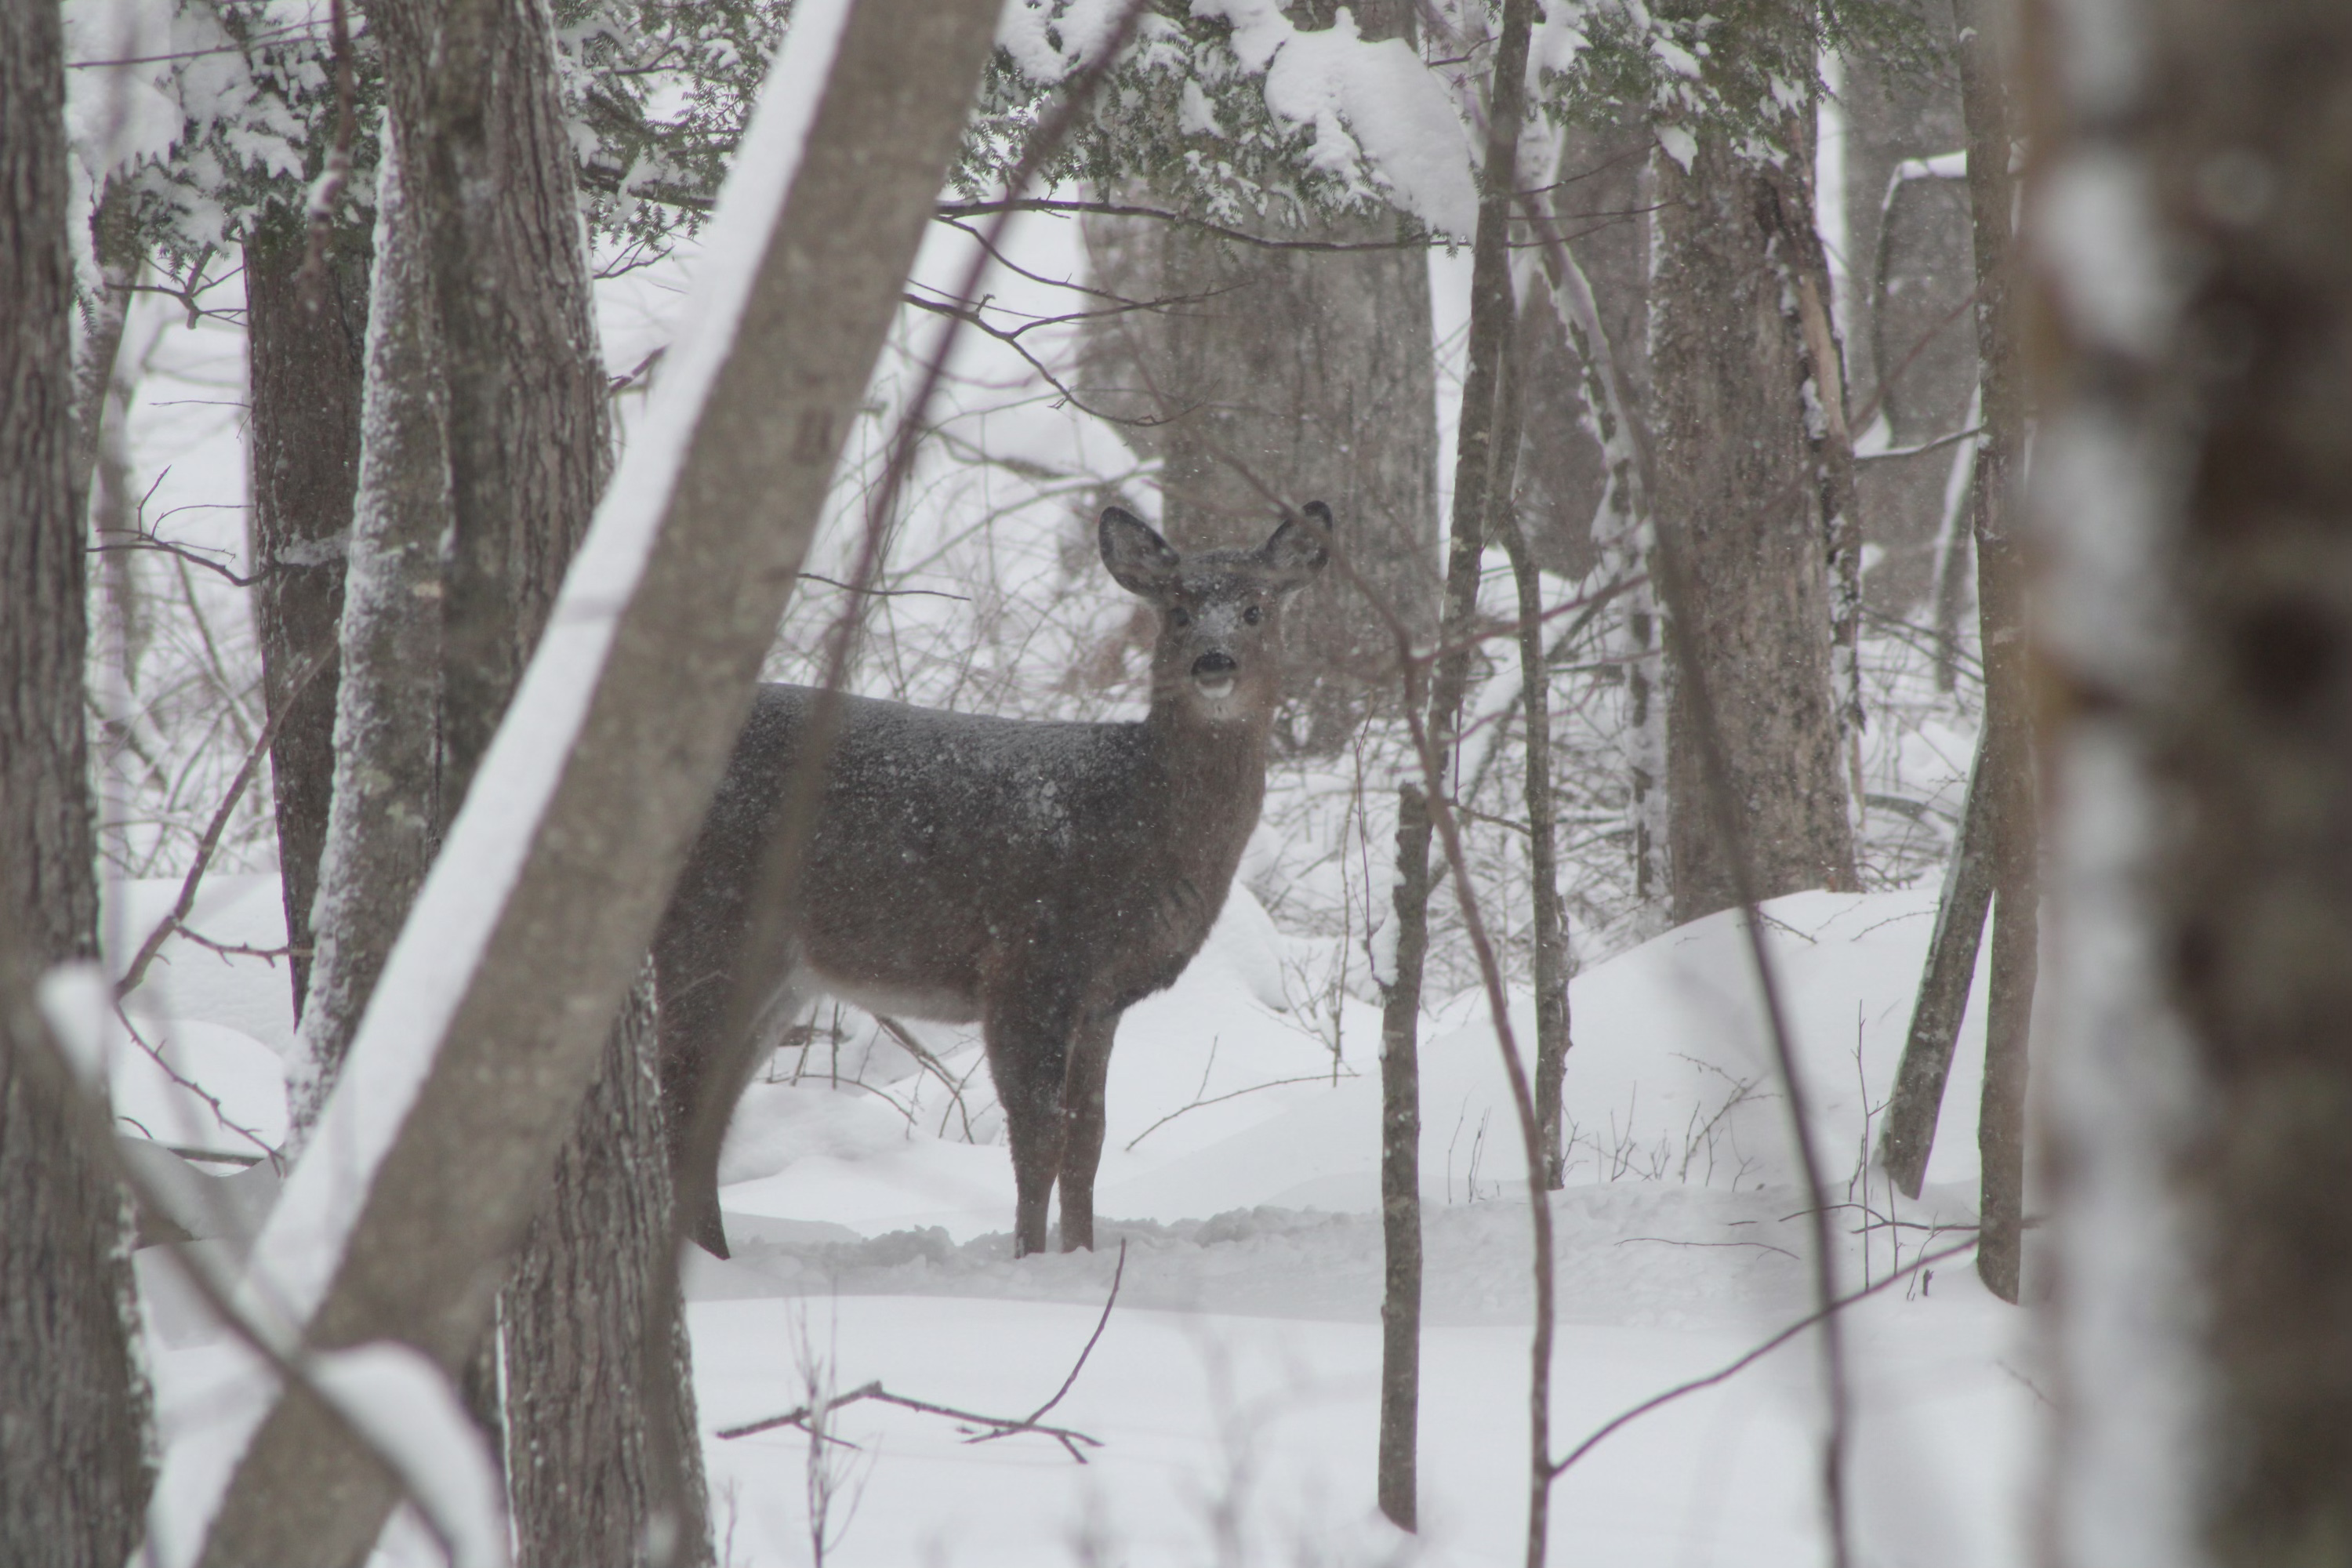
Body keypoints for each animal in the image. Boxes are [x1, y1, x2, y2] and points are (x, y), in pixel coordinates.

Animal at [654, 503, 1336, 1260]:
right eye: (1179, 611)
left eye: (1255, 609)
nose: (1213, 662)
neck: (1129, 813)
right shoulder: (1026, 964)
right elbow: (1039, 1137)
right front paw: (1030, 1260)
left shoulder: (1101, 998)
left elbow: (1090, 1139)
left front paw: (1082, 1254)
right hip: (708, 924)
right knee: (682, 1101)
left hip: (782, 972)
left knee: (711, 1109)